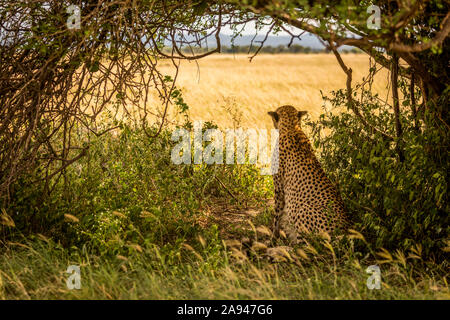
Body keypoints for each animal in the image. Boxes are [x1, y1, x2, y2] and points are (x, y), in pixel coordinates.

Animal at [268, 105, 350, 242]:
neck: (291, 128)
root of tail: (344, 231)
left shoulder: (279, 188)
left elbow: (276, 216)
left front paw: (274, 236)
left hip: (303, 210)